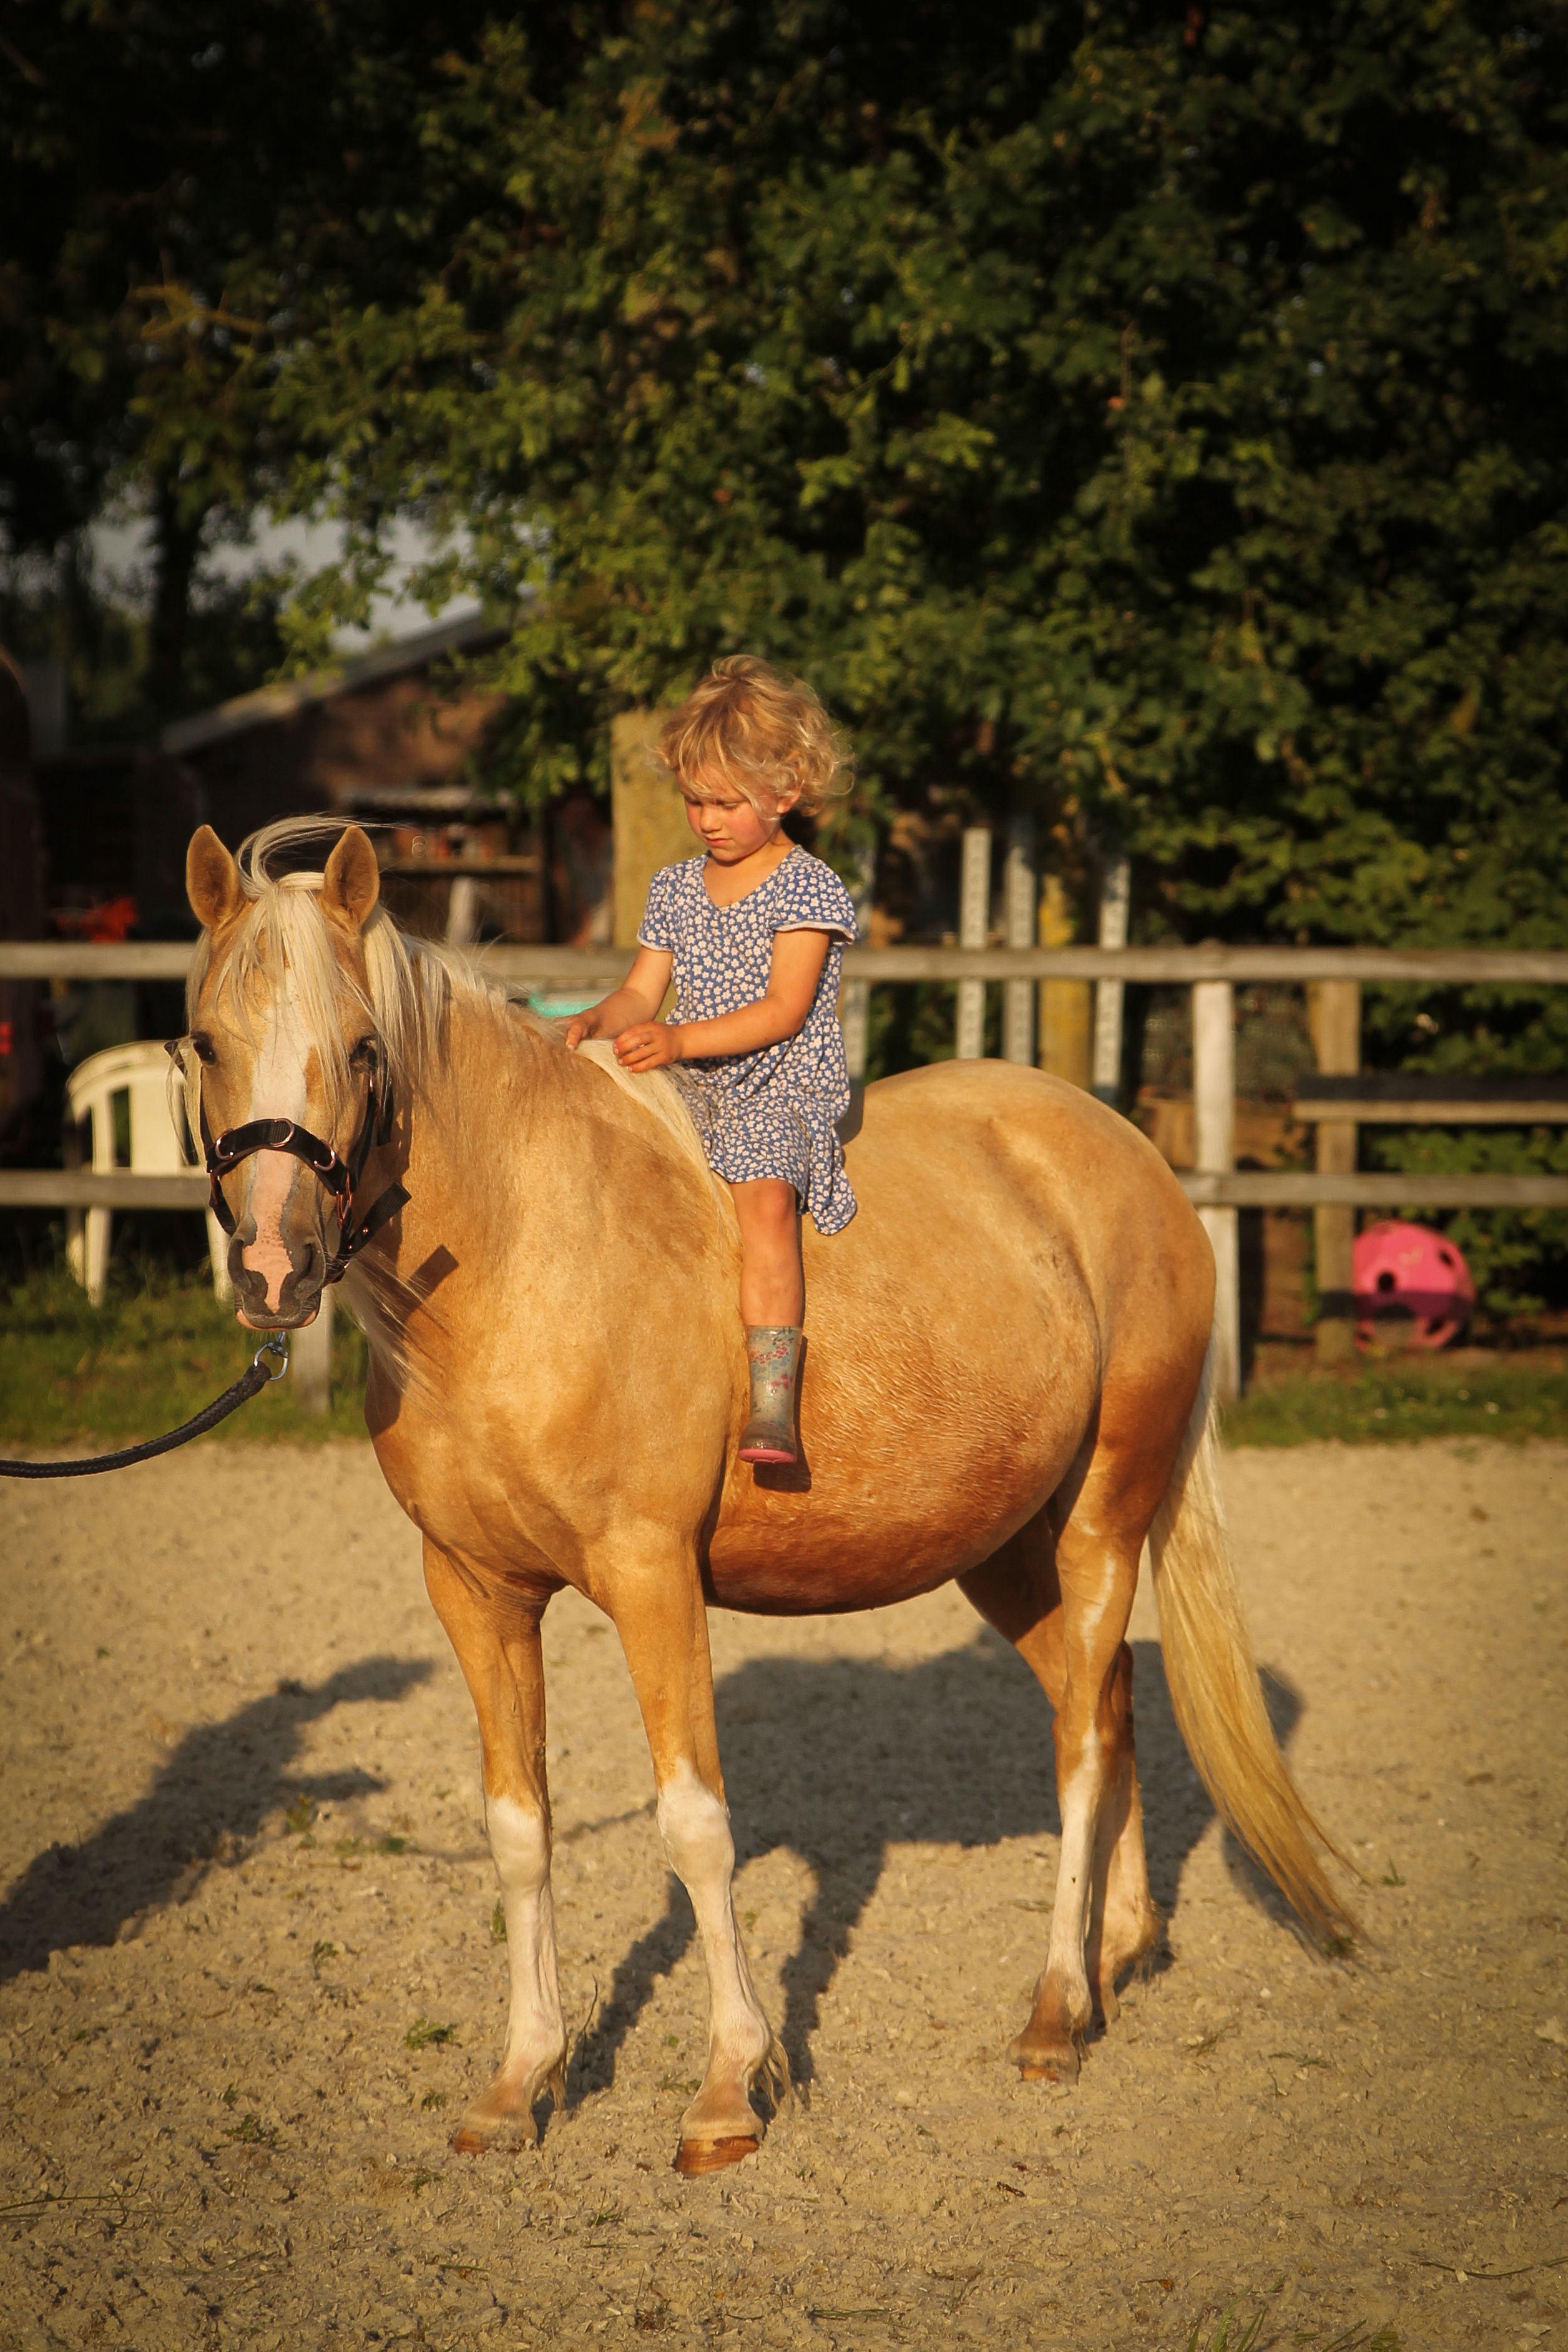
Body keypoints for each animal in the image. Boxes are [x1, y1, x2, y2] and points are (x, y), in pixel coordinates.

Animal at [177, 815, 1352, 2176]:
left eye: (365, 1050)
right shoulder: (475, 1592)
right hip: (1012, 1549)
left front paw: (729, 2088)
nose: (273, 1267)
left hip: (1105, 1519)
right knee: (1103, 1704)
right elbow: (518, 1829)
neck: (527, 1260)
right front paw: (519, 2080)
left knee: (1079, 1747)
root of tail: (1133, 1157)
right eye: (205, 1040)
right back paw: (1113, 1952)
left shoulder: (652, 1579)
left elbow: (695, 1826)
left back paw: (1055, 2009)